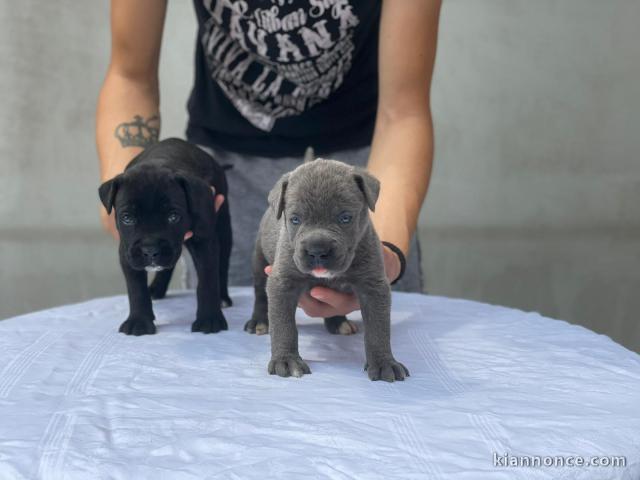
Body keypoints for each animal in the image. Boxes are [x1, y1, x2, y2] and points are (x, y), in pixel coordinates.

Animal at [99, 137, 231, 336]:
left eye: (173, 217)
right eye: (127, 218)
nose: (150, 250)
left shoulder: (204, 241)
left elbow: (207, 280)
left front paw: (209, 319)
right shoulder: (127, 251)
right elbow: (136, 288)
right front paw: (139, 320)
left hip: (223, 227)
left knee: (222, 265)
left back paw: (222, 298)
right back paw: (156, 289)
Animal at [245, 158, 410, 382]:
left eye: (345, 218)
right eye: (295, 219)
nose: (317, 250)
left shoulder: (374, 286)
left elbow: (378, 328)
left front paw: (384, 362)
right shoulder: (282, 282)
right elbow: (284, 325)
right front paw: (286, 360)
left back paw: (338, 322)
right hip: (260, 261)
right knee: (260, 294)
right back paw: (259, 321)